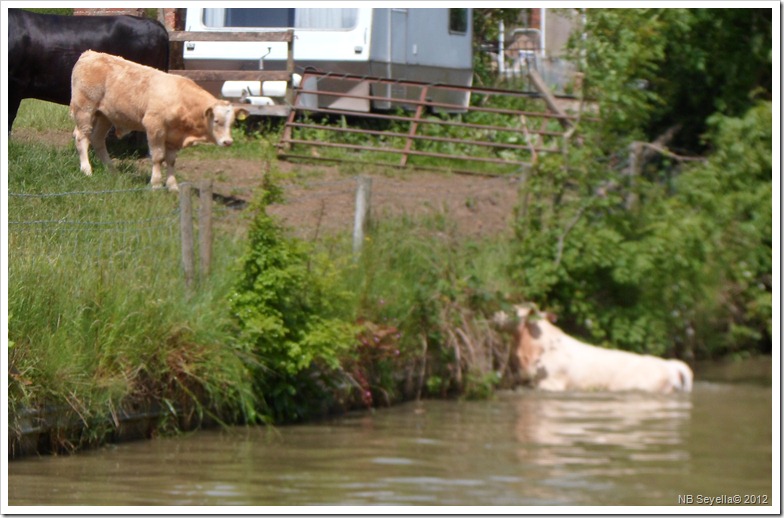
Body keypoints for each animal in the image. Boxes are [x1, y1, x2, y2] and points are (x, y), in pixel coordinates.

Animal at [72, 50, 248, 193]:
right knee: (82, 137)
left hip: (105, 116)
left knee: (97, 140)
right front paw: (156, 184)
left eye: (232, 122)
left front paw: (173, 186)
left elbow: (171, 160)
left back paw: (112, 170)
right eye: (216, 120)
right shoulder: (154, 127)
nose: (228, 142)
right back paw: (86, 169)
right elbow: (158, 157)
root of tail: (90, 54)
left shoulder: (173, 137)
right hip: (85, 110)